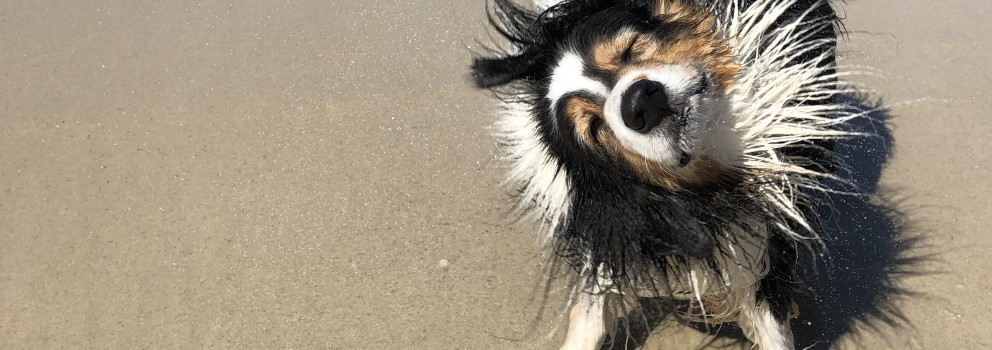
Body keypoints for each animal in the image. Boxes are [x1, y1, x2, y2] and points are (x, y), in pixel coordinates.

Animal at [468, 0, 856, 350]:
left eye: (630, 49)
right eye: (594, 128)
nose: (640, 103)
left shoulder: (764, 231)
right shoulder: (619, 218)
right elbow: (591, 303)